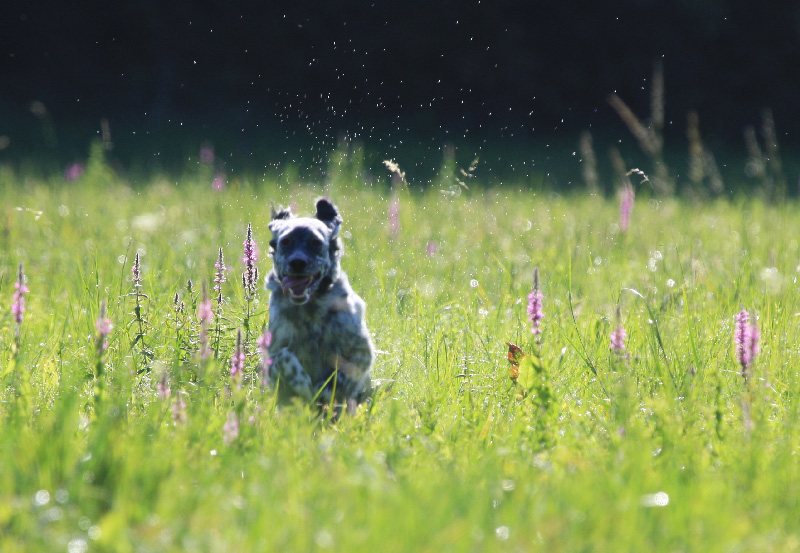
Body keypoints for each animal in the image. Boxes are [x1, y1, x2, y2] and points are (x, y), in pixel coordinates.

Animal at [264, 196, 374, 412]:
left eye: (315, 242)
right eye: (285, 241)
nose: (297, 262)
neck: (310, 309)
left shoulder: (361, 352)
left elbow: (341, 378)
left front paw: (323, 394)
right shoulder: (272, 356)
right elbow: (283, 356)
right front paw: (301, 384)